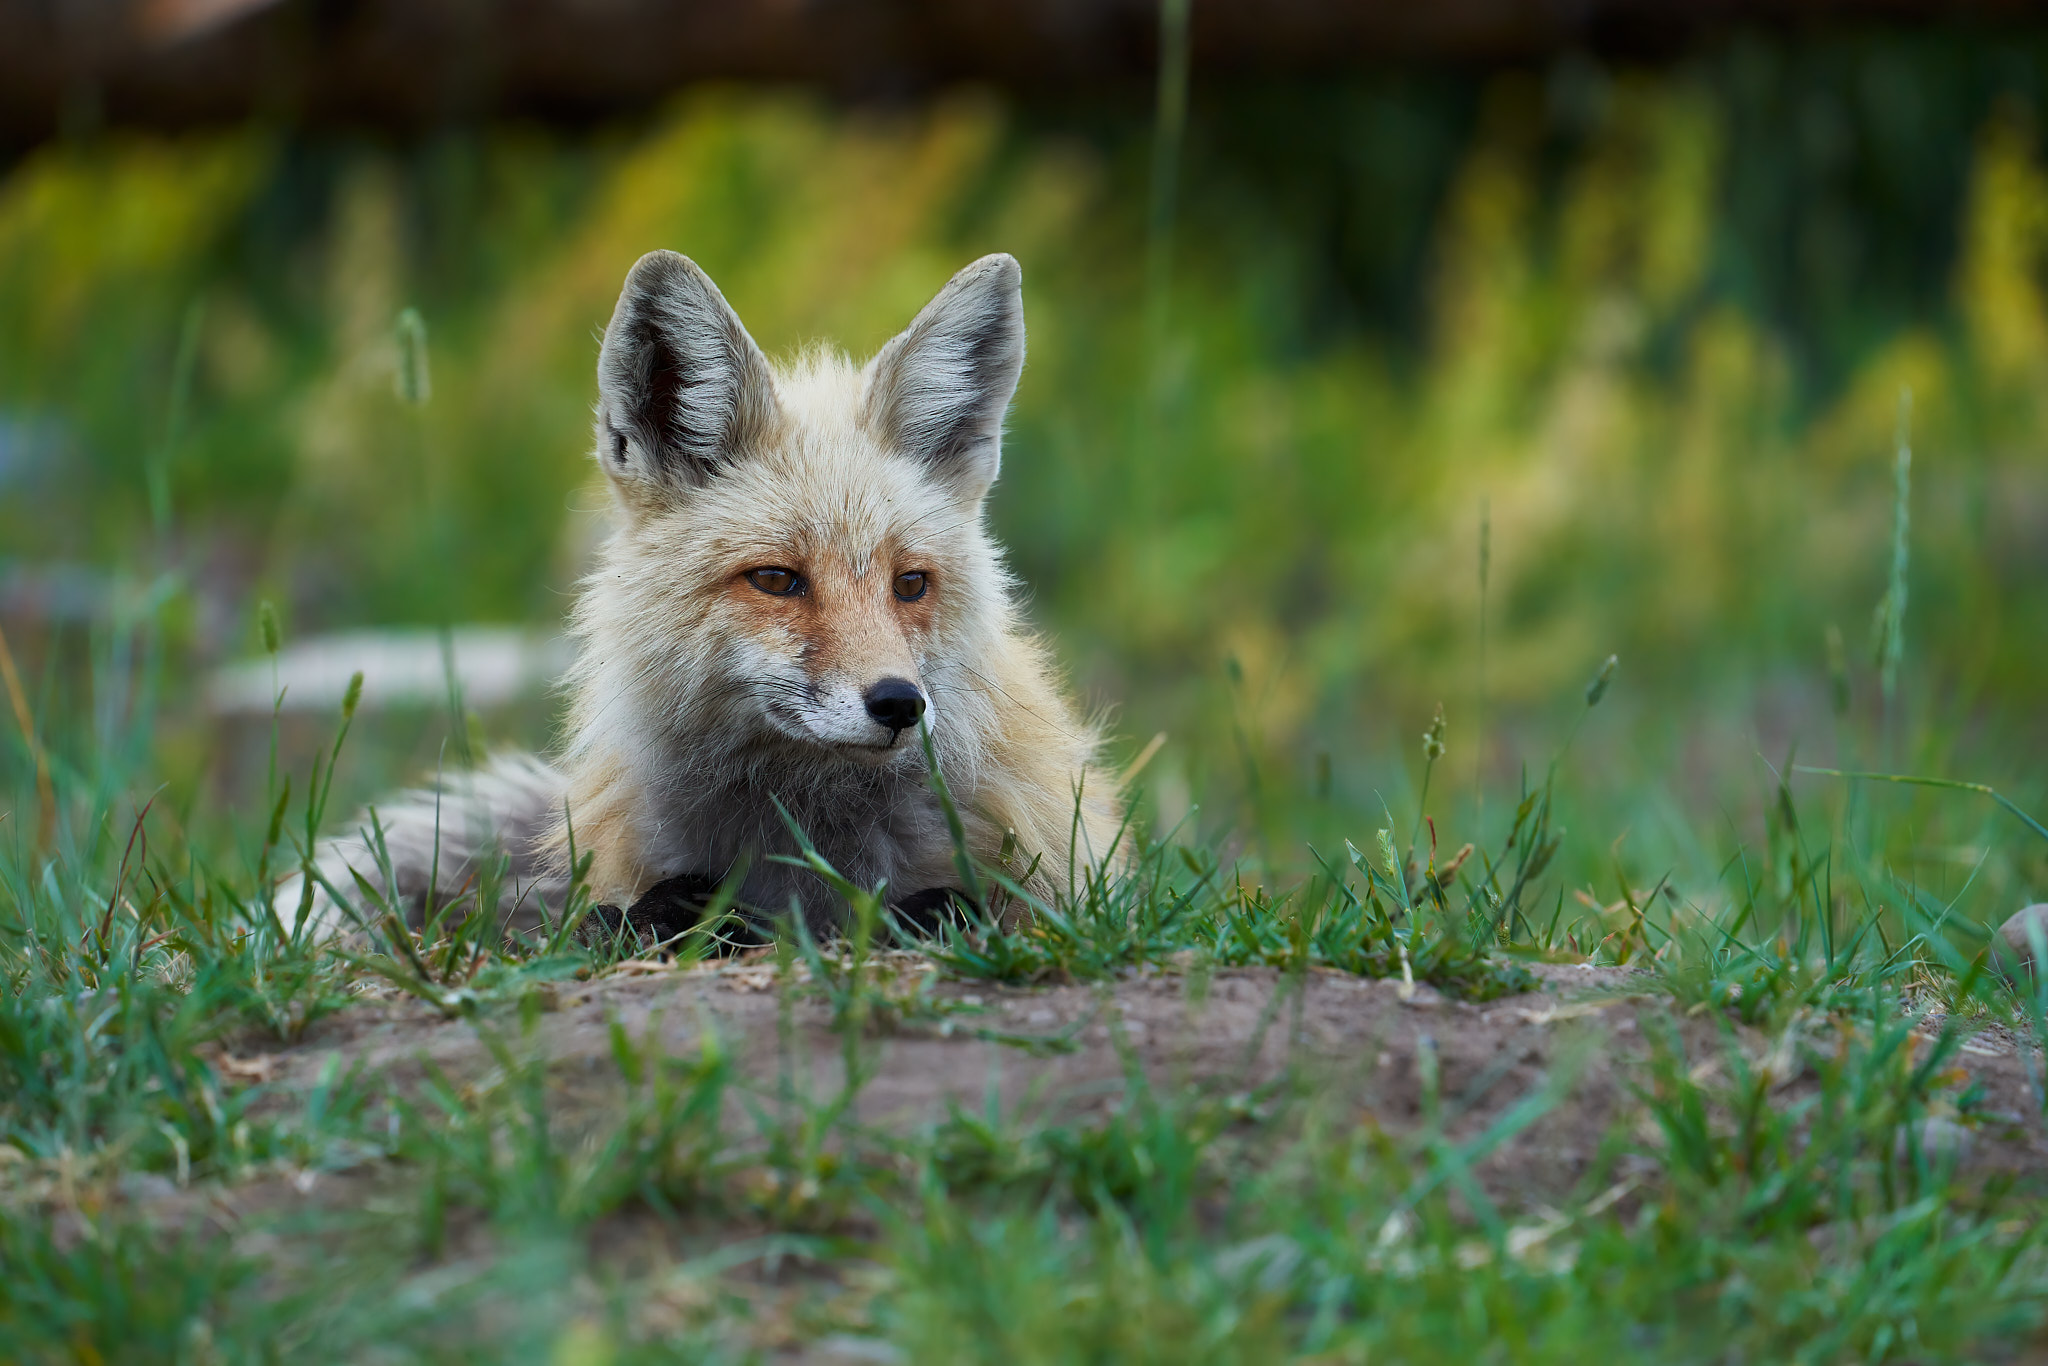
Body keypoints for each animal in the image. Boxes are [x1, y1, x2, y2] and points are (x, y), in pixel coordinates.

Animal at [299, 250, 1121, 944]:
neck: (808, 834)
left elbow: (957, 903)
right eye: (777, 579)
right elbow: (623, 917)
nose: (899, 703)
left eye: (910, 584)